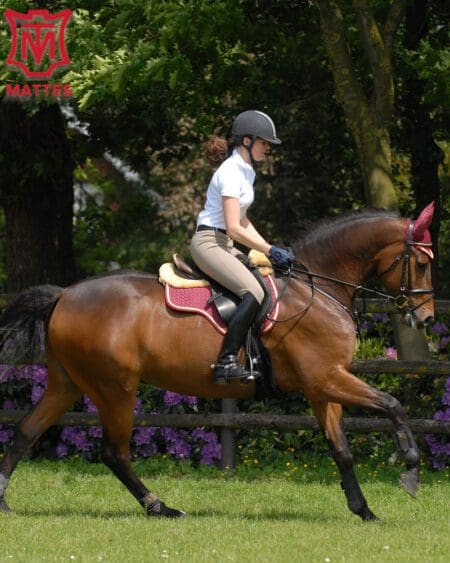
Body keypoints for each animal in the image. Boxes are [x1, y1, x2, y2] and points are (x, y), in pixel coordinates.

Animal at [0, 205, 436, 524]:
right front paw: (410, 470)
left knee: (25, 432)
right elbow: (393, 405)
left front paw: (364, 510)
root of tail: (64, 295)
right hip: (115, 388)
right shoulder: (328, 378)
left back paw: (4, 502)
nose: (427, 318)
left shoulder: (321, 387)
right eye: (422, 263)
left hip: (67, 383)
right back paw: (160, 507)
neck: (319, 288)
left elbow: (341, 448)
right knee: (113, 452)